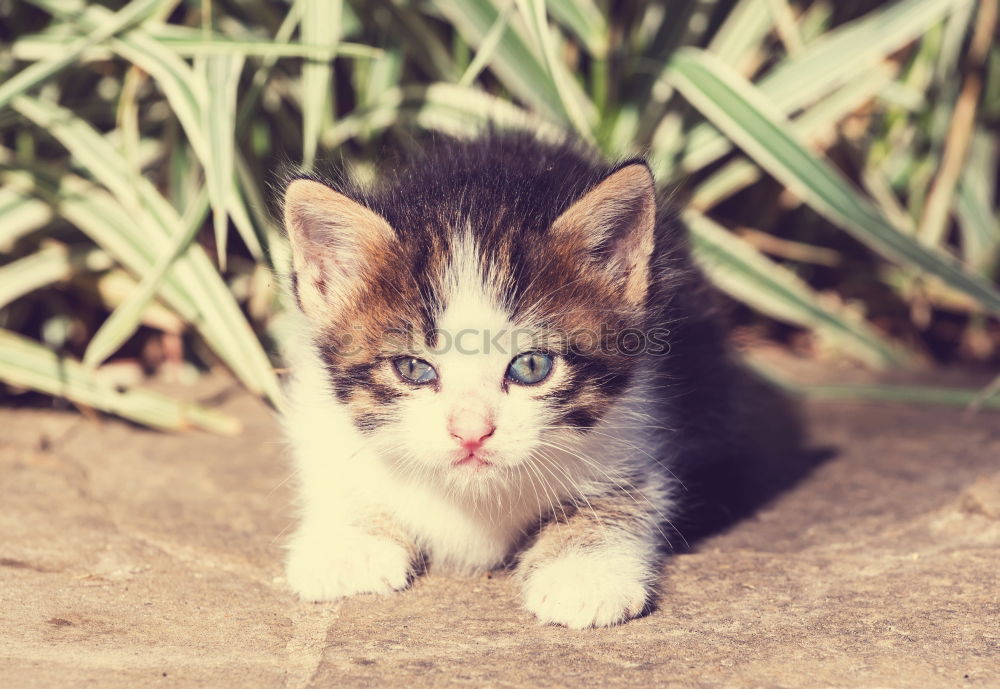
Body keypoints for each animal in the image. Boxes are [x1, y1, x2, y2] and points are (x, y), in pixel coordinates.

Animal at [280, 132, 736, 628]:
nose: (471, 433)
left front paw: (584, 571)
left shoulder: (637, 425)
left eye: (531, 367)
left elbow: (629, 494)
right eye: (414, 369)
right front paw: (349, 545)